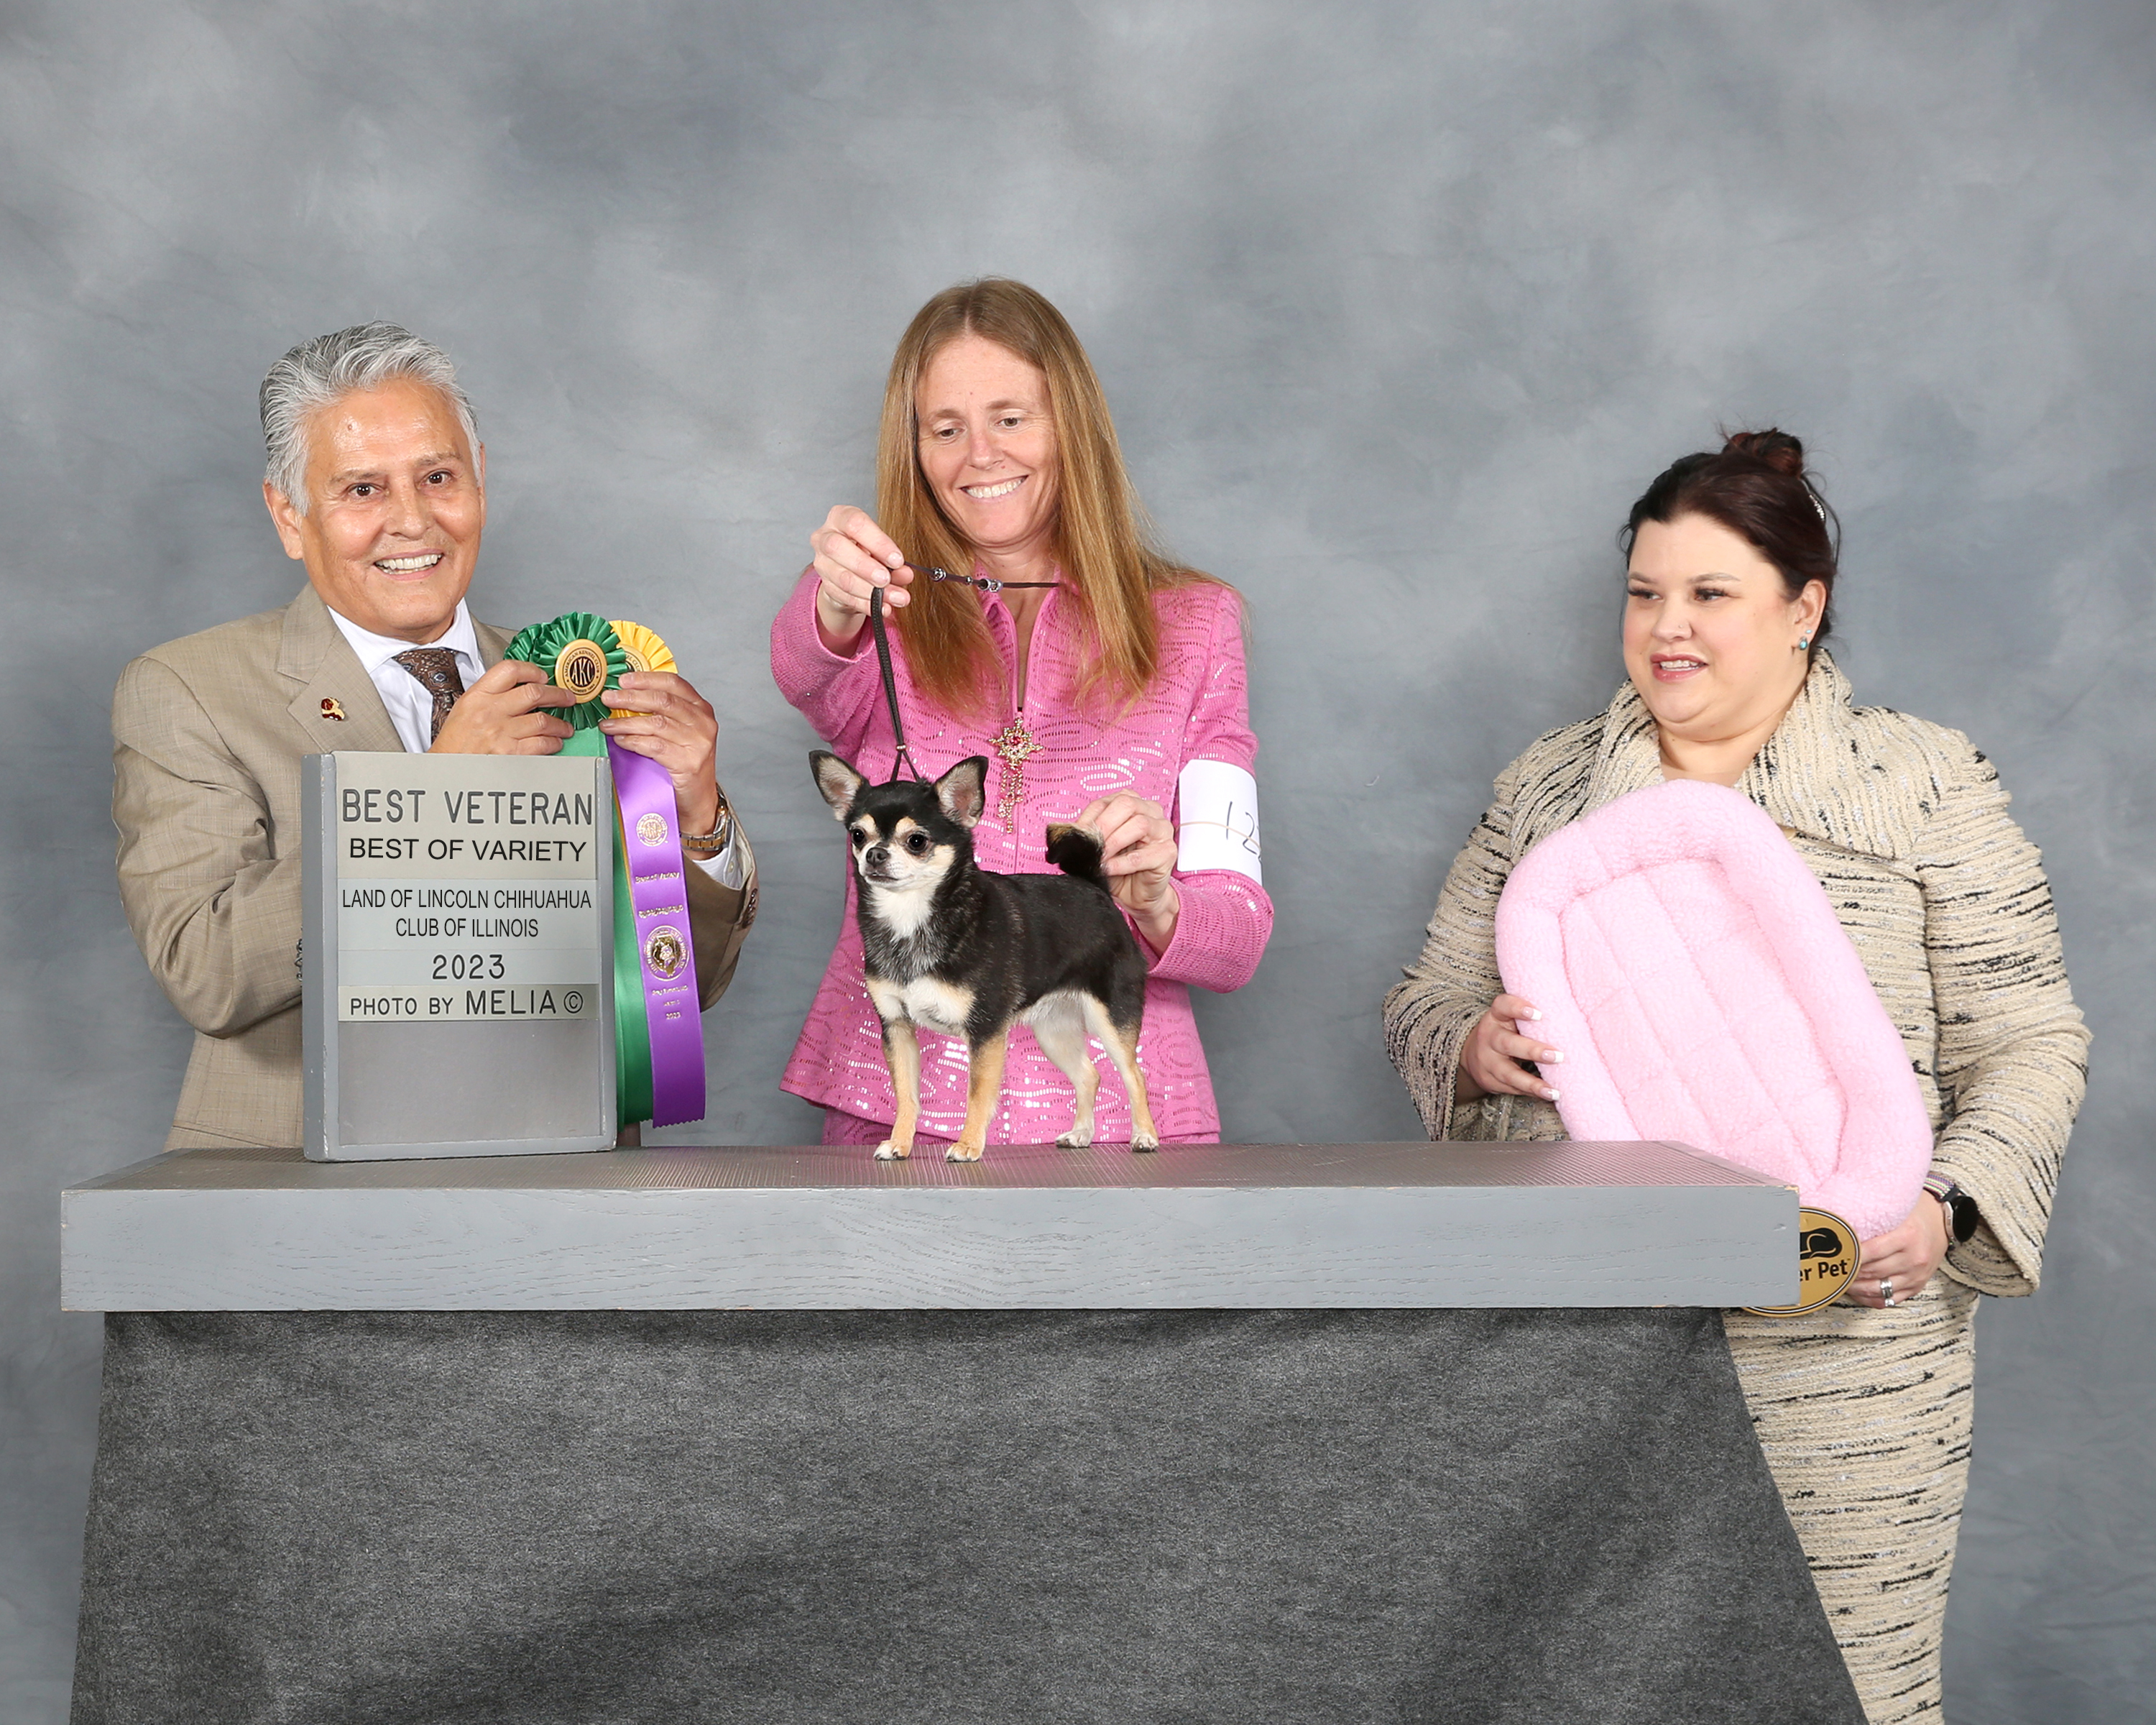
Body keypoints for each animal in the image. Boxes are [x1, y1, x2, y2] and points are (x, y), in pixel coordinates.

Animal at [810, 750, 1159, 1162]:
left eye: (917, 841)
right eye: (858, 835)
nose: (874, 854)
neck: (910, 918)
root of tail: (1096, 887)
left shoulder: (986, 1030)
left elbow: (977, 1094)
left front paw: (967, 1145)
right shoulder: (897, 1026)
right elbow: (907, 1095)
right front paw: (899, 1143)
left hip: (1112, 1020)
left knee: (1134, 1075)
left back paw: (1144, 1136)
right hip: (1054, 1030)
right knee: (1090, 1074)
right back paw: (1080, 1134)